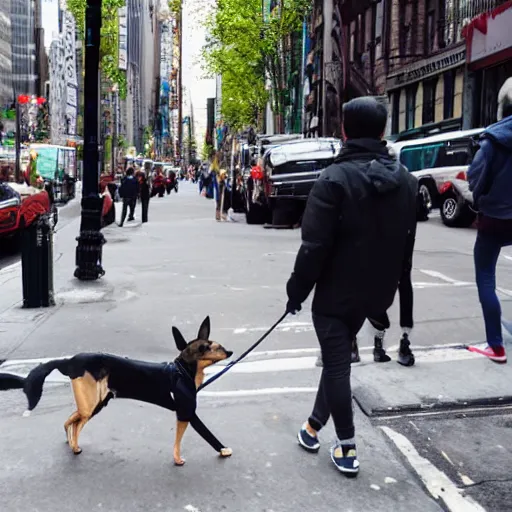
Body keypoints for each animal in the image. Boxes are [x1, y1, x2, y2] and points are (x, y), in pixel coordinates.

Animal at [21, 316, 233, 464]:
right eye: (208, 347)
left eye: (217, 345)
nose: (230, 352)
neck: (181, 372)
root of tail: (69, 361)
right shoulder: (186, 413)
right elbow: (197, 435)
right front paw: (218, 451)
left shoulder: (185, 413)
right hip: (91, 406)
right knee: (77, 424)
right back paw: (75, 448)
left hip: (95, 403)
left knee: (71, 421)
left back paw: (69, 440)